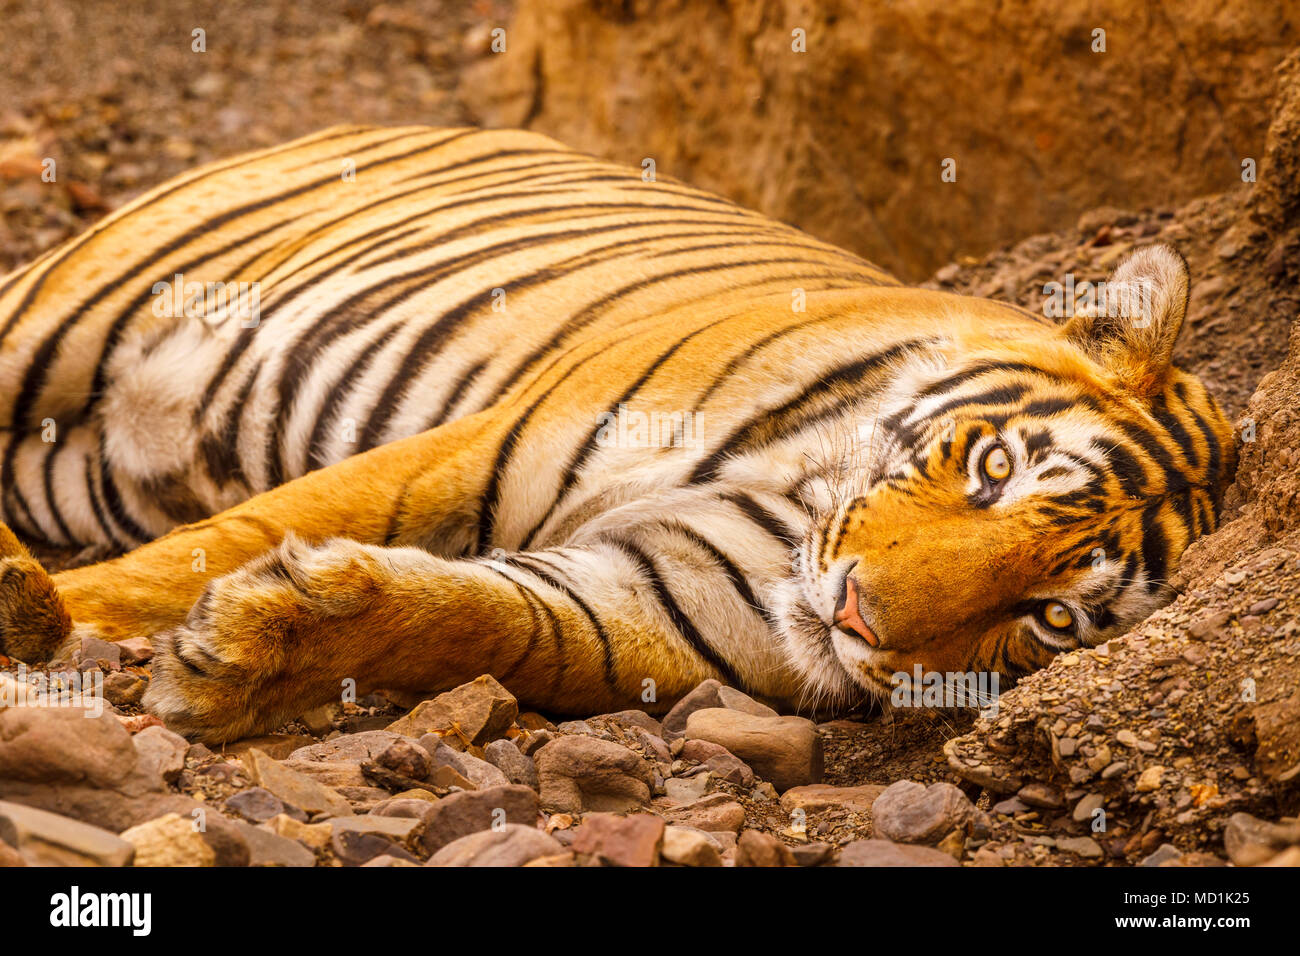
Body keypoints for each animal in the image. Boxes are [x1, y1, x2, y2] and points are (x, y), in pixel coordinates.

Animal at [0, 126, 1234, 742]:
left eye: (1054, 618)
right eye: (993, 468)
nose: (855, 616)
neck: (790, 497)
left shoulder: (646, 601)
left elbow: (489, 621)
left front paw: (264, 645)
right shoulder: (460, 451)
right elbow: (203, 551)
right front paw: (58, 618)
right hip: (63, 314)